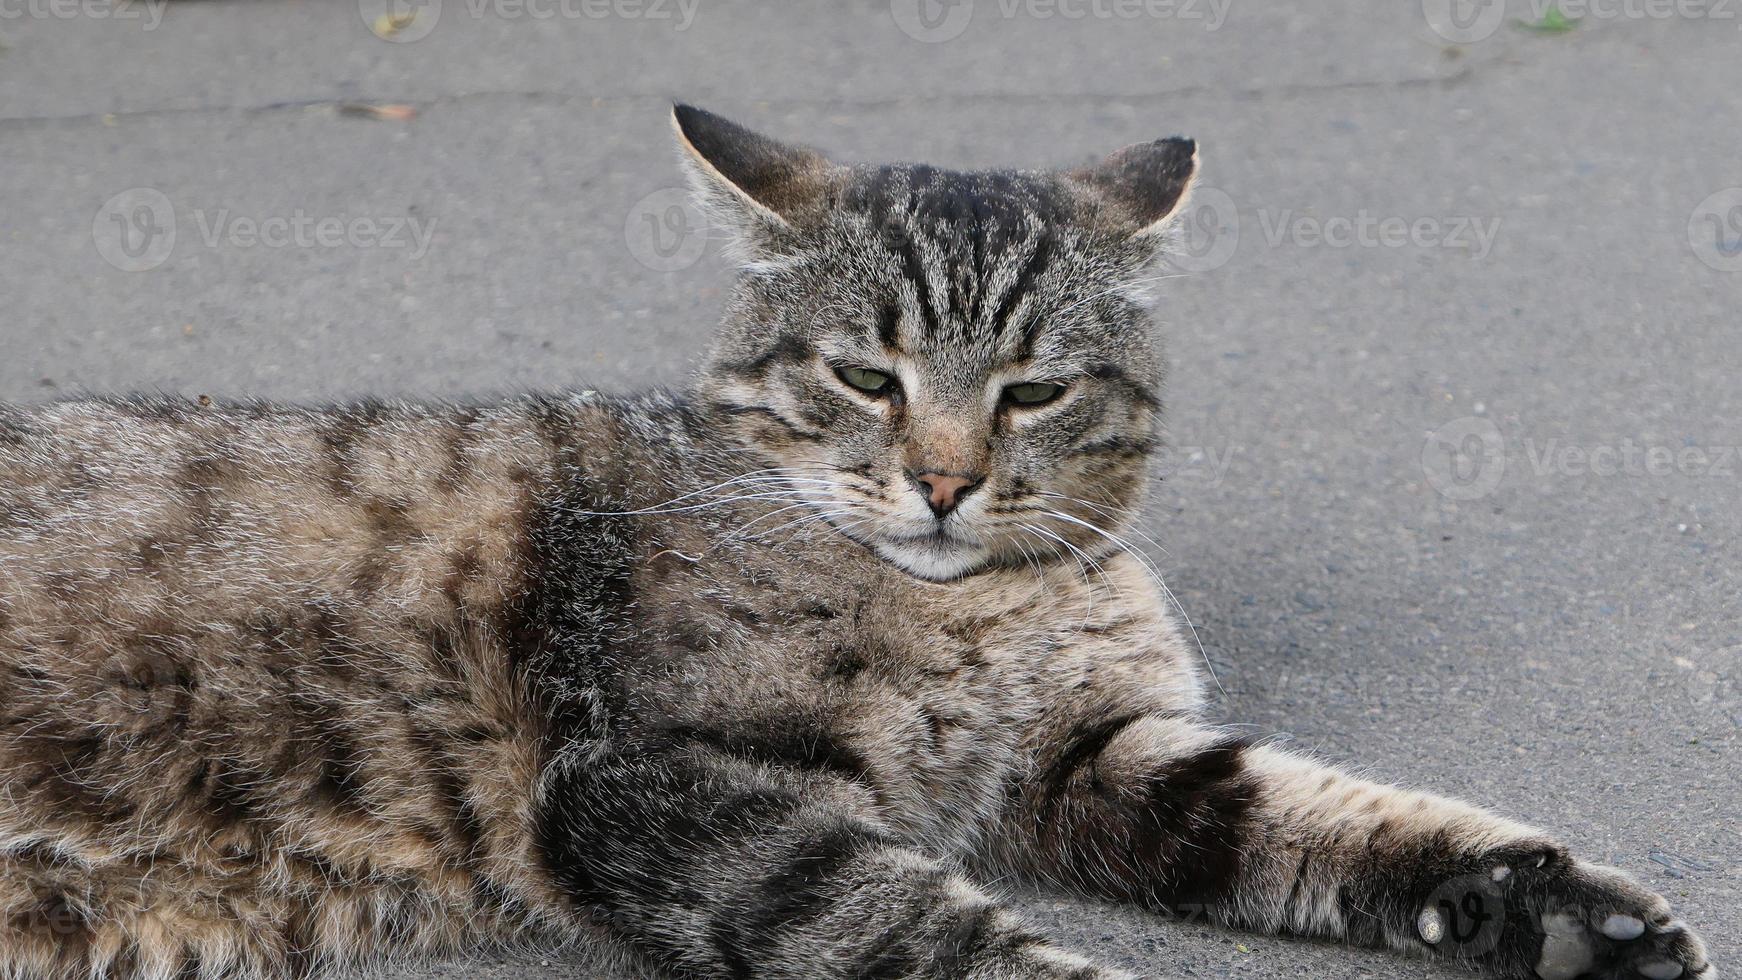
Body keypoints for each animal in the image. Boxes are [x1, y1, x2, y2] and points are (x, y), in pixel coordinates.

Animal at [0, 105, 1714, 980]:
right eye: (865, 376)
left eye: (1031, 389)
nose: (945, 480)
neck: (971, 613)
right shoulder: (661, 783)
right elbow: (923, 933)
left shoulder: (1089, 758)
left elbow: (1328, 820)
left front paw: (1553, 910)